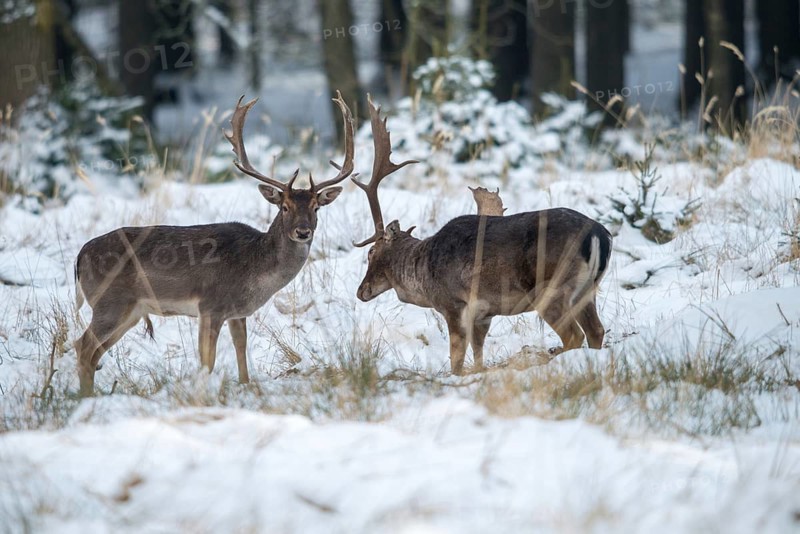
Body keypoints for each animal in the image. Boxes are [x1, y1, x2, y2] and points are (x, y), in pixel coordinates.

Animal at [73, 91, 355, 396]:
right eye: (285, 207)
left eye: (316, 207)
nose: (302, 232)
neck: (255, 270)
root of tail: (79, 256)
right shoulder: (210, 305)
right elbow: (208, 360)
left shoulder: (237, 312)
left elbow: (241, 349)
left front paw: (244, 385)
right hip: (109, 302)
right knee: (83, 346)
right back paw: (85, 398)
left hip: (131, 312)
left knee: (91, 352)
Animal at [352, 95, 612, 375]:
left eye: (370, 252)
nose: (361, 291)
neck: (422, 274)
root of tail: (598, 235)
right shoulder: (484, 315)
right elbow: (478, 353)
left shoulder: (454, 304)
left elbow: (456, 359)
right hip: (587, 290)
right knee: (596, 331)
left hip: (551, 289)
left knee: (574, 335)